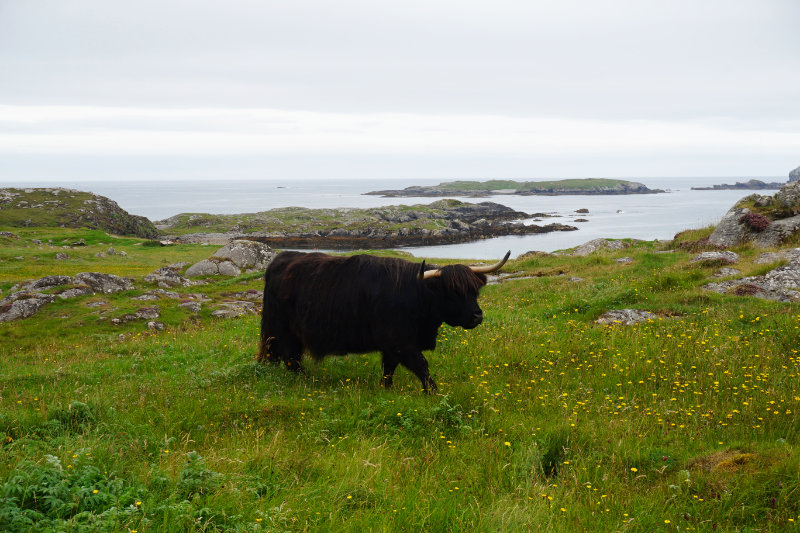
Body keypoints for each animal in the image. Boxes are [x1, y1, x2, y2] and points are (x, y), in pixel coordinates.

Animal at [257, 250, 510, 391]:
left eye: (474, 291)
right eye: (453, 292)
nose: (477, 315)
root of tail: (280, 260)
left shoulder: (393, 346)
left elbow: (389, 369)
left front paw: (385, 389)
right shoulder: (401, 342)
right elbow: (422, 366)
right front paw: (433, 391)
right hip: (282, 330)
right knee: (290, 358)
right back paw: (303, 380)